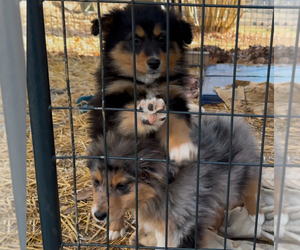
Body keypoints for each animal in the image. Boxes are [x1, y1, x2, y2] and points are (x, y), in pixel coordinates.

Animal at [86, 115, 262, 248]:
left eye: (122, 185)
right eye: (96, 182)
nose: (98, 215)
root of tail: (230, 119)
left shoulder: (185, 224)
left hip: (246, 170)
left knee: (250, 191)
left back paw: (256, 217)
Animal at [89, 5, 197, 164]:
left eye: (162, 38)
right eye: (135, 39)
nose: (154, 63)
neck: (147, 83)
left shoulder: (175, 96)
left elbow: (177, 120)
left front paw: (182, 147)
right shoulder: (109, 103)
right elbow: (126, 112)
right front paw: (148, 112)